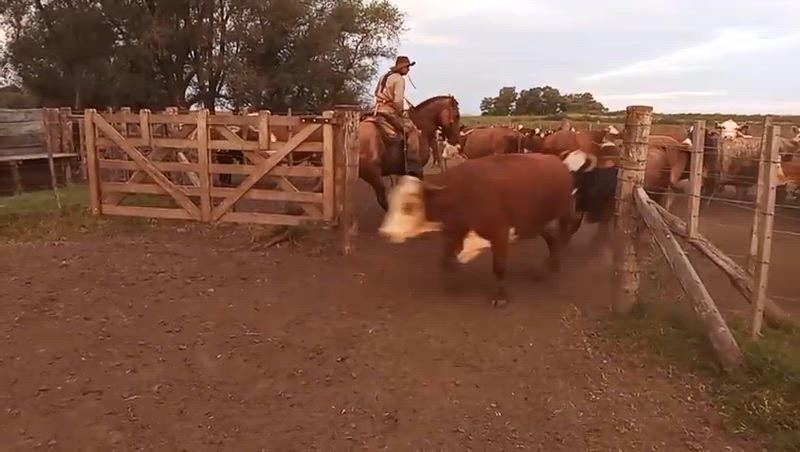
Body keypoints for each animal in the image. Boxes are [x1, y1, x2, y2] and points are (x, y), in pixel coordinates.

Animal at [378, 152, 590, 307]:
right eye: (391, 201)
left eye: (409, 206)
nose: (385, 233)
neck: (462, 191)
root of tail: (560, 163)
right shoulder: (455, 230)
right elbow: (446, 259)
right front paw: (454, 275)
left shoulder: (499, 234)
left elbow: (498, 266)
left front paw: (501, 296)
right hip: (538, 221)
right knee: (553, 239)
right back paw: (547, 268)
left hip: (563, 214)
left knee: (562, 237)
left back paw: (552, 266)